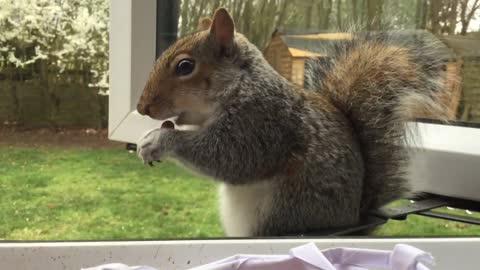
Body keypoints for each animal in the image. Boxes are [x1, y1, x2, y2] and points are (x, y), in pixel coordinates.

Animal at [135, 7, 454, 236]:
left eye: (185, 66)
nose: (141, 107)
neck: (238, 86)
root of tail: (355, 217)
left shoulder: (262, 122)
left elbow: (230, 158)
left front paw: (158, 140)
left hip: (285, 211)